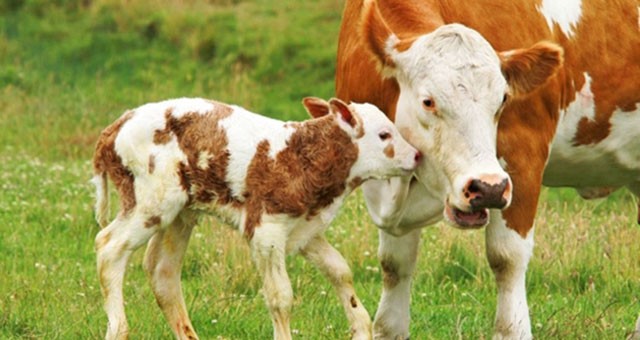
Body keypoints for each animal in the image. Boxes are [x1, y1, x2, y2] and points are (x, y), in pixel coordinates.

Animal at [90, 96, 420, 340]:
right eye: (384, 135)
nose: (417, 155)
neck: (301, 156)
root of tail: (117, 125)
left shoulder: (304, 228)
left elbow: (340, 270)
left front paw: (361, 328)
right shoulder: (266, 230)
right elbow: (280, 296)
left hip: (181, 212)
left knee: (162, 271)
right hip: (151, 201)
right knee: (109, 246)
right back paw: (118, 329)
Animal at [336, 0, 640, 338]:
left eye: (503, 99)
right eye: (428, 101)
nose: (487, 187)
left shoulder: (522, 155)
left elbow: (507, 256)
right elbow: (394, 265)